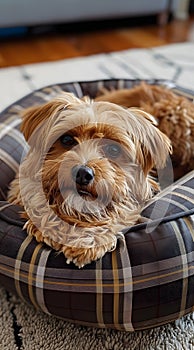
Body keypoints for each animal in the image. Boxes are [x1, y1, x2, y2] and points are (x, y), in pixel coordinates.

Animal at [7, 91, 171, 266]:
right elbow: (38, 201)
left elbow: (117, 213)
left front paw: (86, 240)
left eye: (113, 149)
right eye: (67, 140)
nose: (82, 173)